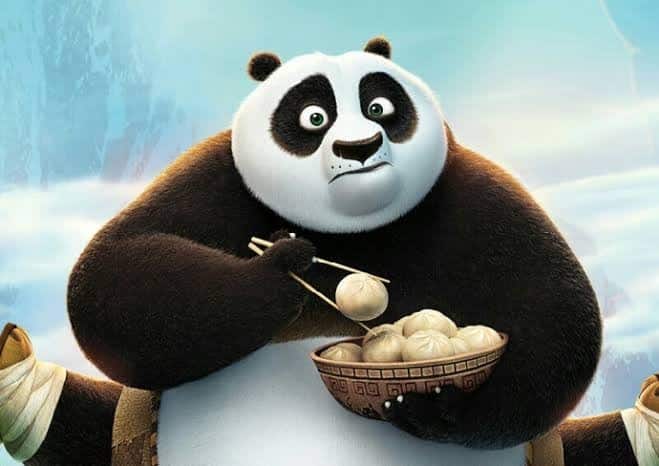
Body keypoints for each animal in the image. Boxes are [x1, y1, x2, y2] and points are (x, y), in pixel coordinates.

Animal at [0, 37, 653, 466]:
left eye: (381, 107)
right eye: (313, 117)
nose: (360, 147)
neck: (356, 231)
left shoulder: (466, 197)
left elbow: (553, 308)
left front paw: (441, 410)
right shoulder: (219, 181)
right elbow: (118, 275)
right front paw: (281, 268)